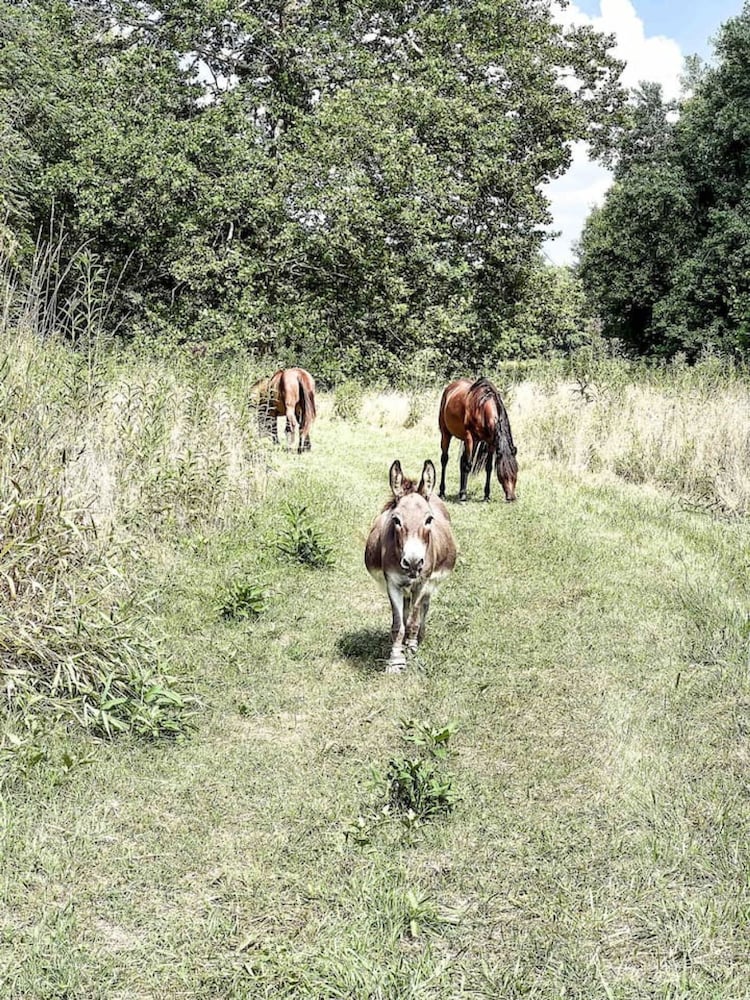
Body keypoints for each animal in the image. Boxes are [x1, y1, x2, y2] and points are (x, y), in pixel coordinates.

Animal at [365, 459, 457, 672]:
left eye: (429, 519)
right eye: (396, 520)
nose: (413, 563)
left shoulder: (422, 583)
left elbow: (414, 619)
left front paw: (411, 648)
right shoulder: (392, 583)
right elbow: (398, 625)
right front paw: (396, 660)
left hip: (431, 583)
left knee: (424, 607)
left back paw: (417, 638)